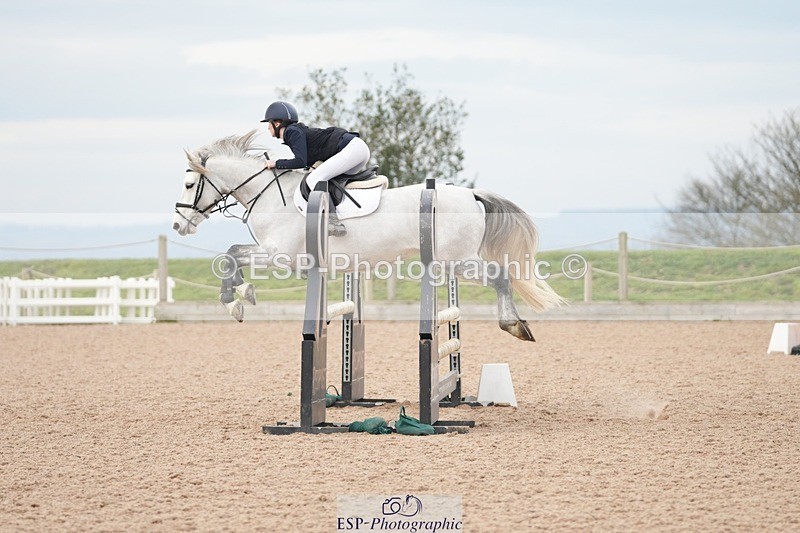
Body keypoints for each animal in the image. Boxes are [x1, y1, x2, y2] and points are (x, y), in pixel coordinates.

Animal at [172, 130, 562, 341]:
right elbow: (232, 252)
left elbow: (230, 254)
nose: (179, 225)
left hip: (459, 261)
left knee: (500, 277)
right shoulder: (272, 252)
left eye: (190, 184)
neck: (268, 194)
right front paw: (240, 295)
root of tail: (472, 194)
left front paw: (235, 299)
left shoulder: (280, 256)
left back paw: (514, 325)